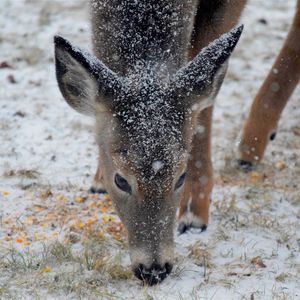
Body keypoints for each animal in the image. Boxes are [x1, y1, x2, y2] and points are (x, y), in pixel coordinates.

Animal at [52, 0, 298, 284]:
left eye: (181, 176)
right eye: (121, 180)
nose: (154, 270)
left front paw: (194, 213)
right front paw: (99, 177)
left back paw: (250, 145)